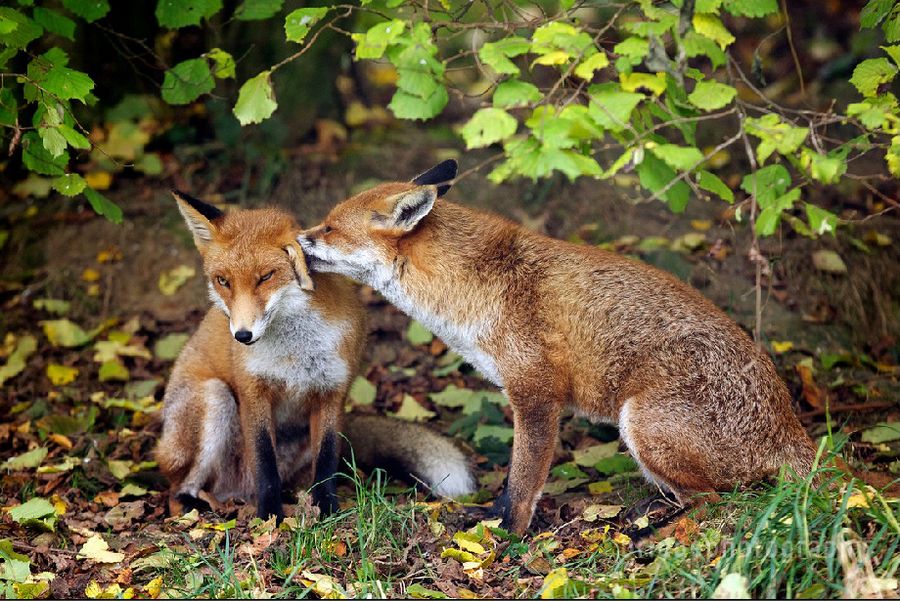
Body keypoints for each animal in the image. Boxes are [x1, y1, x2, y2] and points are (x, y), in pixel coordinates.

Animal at [155, 192, 478, 520]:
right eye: (223, 281)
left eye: (265, 277)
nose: (242, 336)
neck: (295, 355)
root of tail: (235, 492)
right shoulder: (253, 390)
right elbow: (264, 463)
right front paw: (269, 515)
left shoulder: (332, 390)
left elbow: (326, 460)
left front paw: (326, 508)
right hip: (214, 398)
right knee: (178, 488)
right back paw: (193, 505)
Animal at [298, 161, 820, 536]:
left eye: (329, 228)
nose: (298, 239)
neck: (478, 287)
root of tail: (792, 430)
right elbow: (512, 480)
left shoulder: (536, 395)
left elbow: (523, 480)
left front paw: (506, 535)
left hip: (640, 421)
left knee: (719, 500)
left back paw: (650, 530)